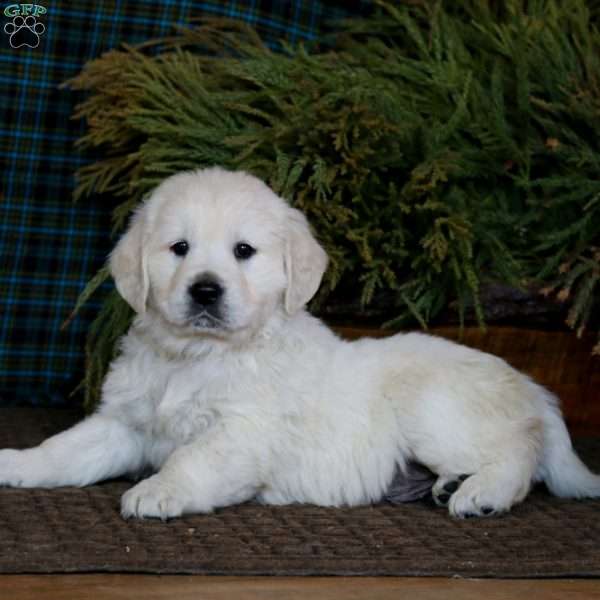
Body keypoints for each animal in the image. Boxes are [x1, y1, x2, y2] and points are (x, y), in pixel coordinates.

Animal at [1, 166, 600, 516]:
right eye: (179, 248)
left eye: (244, 251)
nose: (205, 291)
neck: (198, 355)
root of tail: (533, 390)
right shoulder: (125, 423)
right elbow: (66, 449)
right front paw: (17, 463)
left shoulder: (244, 431)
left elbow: (193, 459)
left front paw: (157, 491)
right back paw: (450, 486)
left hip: (435, 412)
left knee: (520, 453)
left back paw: (482, 494)